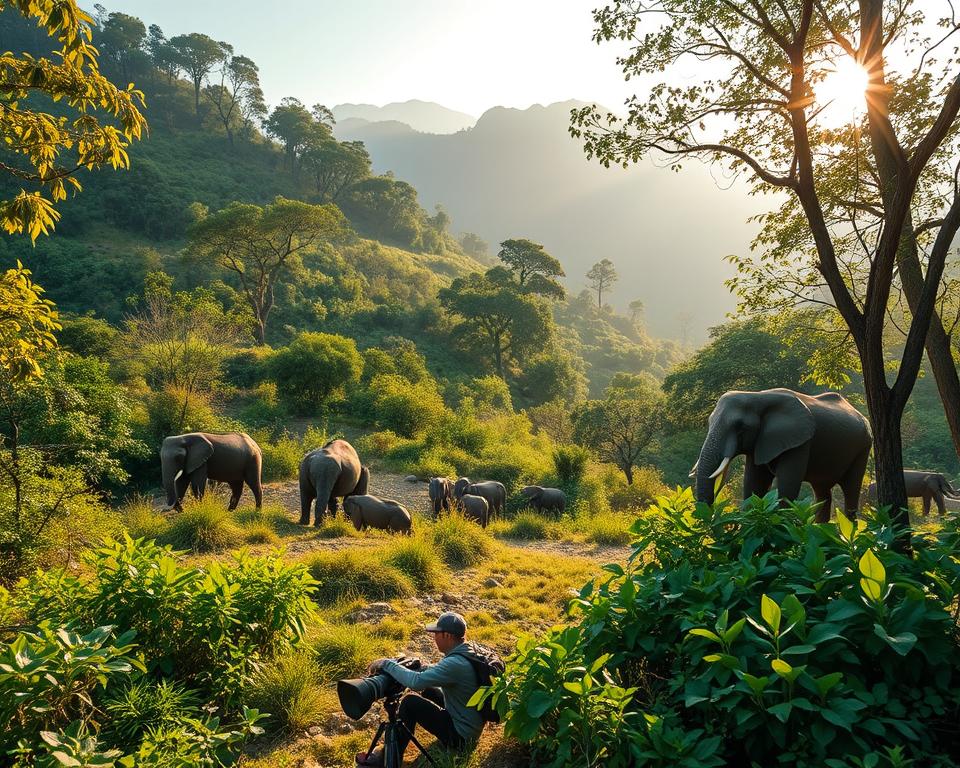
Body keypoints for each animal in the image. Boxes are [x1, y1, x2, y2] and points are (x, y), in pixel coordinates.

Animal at [692, 390, 872, 520]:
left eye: (740, 427)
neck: (757, 396)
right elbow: (754, 484)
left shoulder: (801, 441)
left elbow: (788, 486)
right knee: (822, 491)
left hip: (864, 447)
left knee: (851, 489)